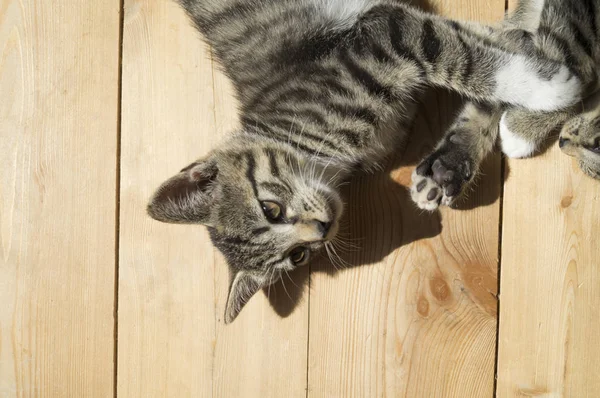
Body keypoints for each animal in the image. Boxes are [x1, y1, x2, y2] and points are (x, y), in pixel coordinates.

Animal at [149, 0, 580, 324]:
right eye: (298, 256)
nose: (322, 229)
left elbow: (462, 57)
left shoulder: (377, 36)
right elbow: (473, 37)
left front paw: (547, 87)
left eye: (270, 209)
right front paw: (527, 51)